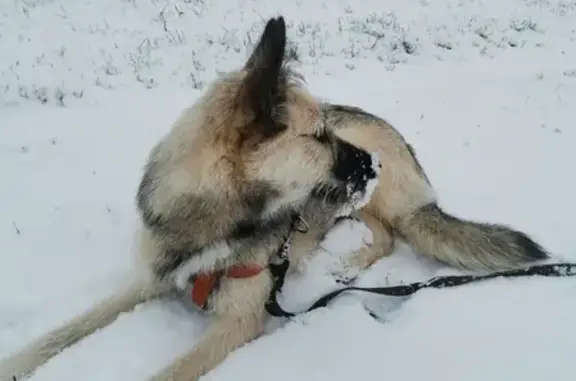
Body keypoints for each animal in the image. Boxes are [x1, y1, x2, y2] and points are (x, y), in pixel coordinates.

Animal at [0, 14, 548, 380]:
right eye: (319, 136)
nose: (373, 165)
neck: (216, 222)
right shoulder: (148, 278)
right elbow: (63, 331)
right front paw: (17, 361)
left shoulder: (239, 322)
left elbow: (169, 372)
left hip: (362, 200)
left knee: (388, 234)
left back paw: (346, 263)